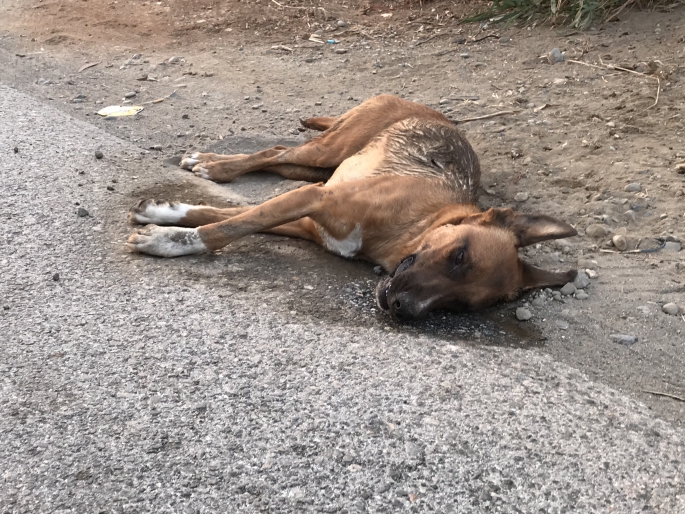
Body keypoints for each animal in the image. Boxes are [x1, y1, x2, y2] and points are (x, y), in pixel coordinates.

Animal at [125, 94, 576, 318]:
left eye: (461, 305)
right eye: (459, 256)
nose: (403, 310)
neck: (409, 231)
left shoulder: (307, 217)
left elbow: (227, 216)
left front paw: (165, 217)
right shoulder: (313, 198)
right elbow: (228, 227)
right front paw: (172, 241)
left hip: (312, 169)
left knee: (280, 158)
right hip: (329, 151)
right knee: (273, 152)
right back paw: (214, 165)